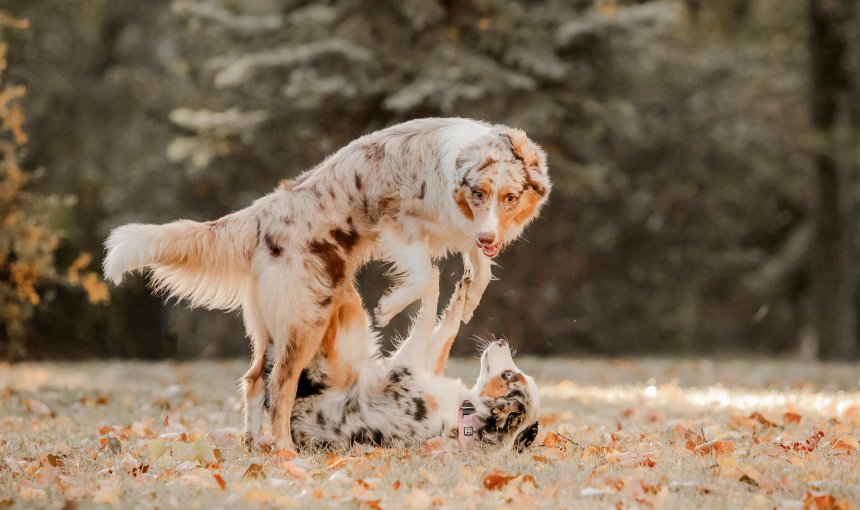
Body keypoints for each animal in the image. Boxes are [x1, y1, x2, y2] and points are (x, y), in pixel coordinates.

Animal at [270, 274, 536, 450]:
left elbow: (428, 308)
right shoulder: (426, 366)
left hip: (350, 331)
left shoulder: (406, 362)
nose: (501, 341)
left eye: (509, 376)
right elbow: (447, 329)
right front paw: (461, 296)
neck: (466, 416)